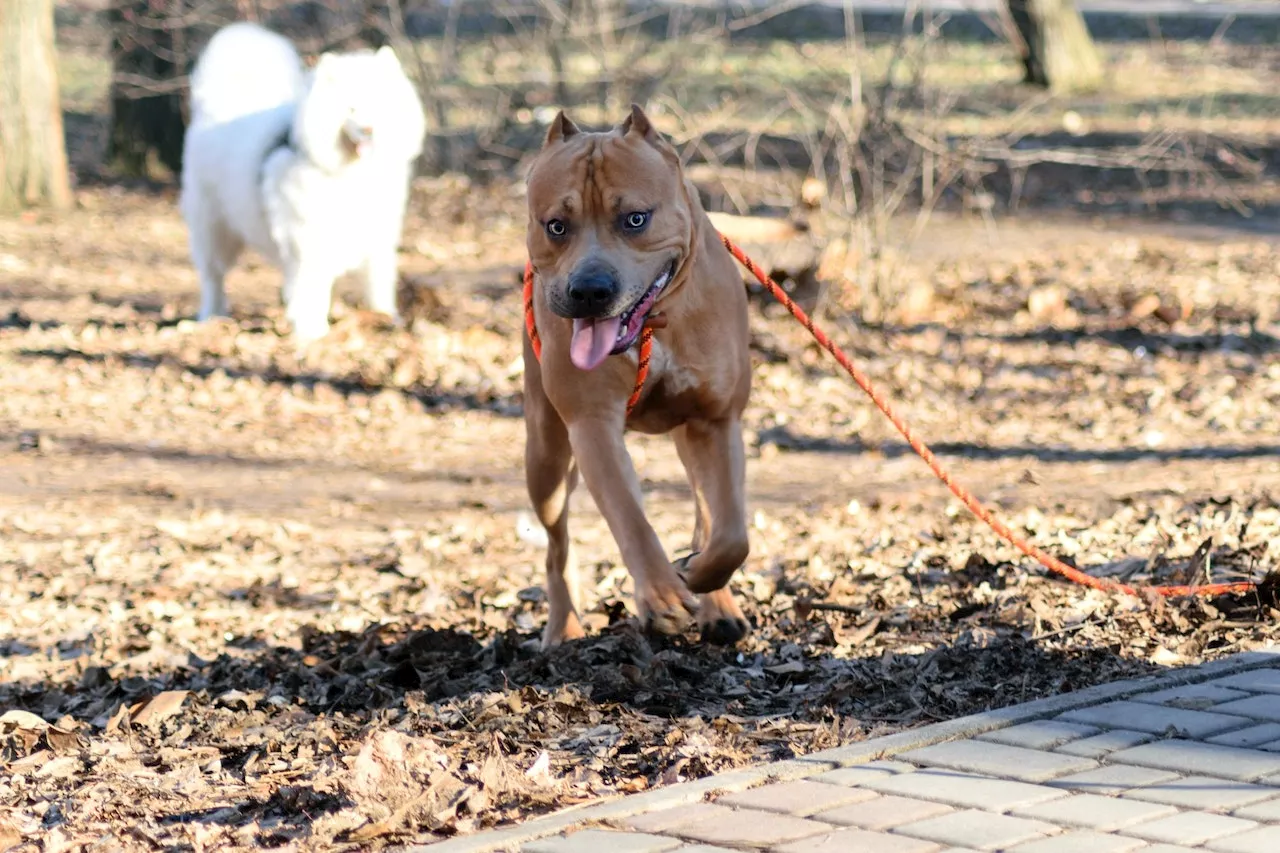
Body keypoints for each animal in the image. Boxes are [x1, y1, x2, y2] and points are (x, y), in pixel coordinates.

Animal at [179, 23, 424, 343]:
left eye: (380, 104)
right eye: (351, 109)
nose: (369, 129)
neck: (349, 173)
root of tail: (213, 111)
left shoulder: (378, 236)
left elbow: (378, 285)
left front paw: (387, 318)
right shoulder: (310, 241)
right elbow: (313, 291)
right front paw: (311, 332)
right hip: (214, 229)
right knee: (213, 276)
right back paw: (211, 314)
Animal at [524, 106, 752, 648]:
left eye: (635, 219)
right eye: (556, 226)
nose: (590, 290)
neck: (655, 324)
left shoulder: (717, 421)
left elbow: (731, 532)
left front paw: (702, 577)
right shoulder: (591, 425)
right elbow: (630, 515)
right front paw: (662, 595)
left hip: (688, 438)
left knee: (706, 512)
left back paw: (717, 604)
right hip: (545, 456)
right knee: (557, 545)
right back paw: (563, 626)